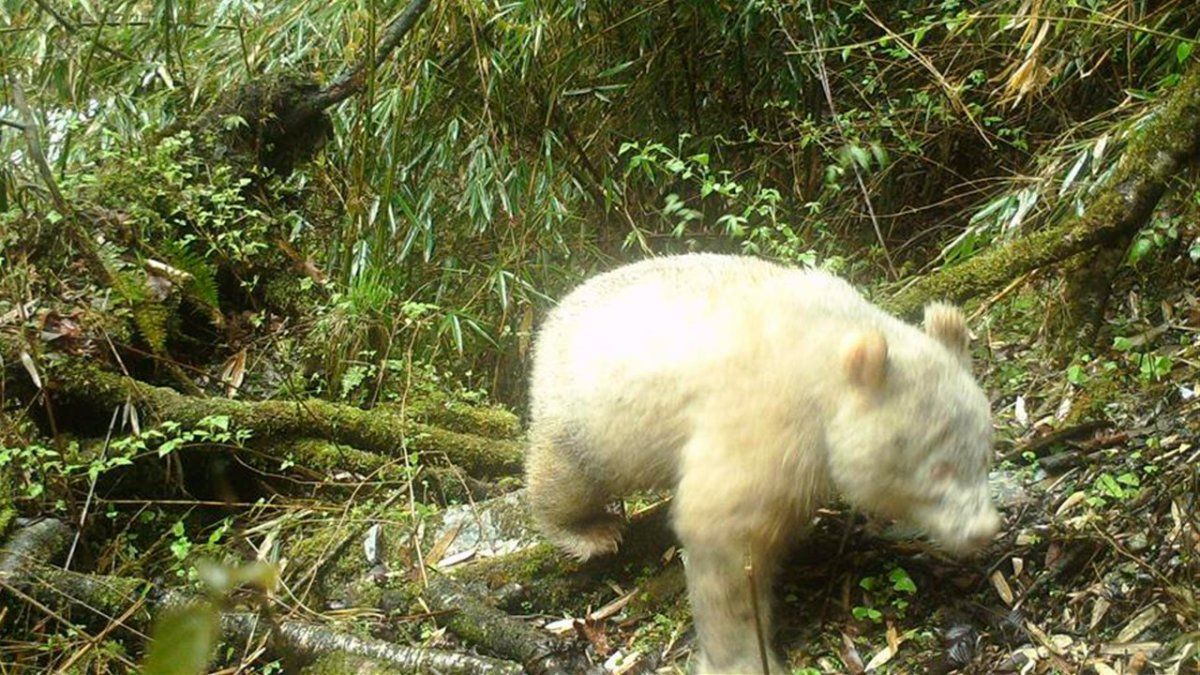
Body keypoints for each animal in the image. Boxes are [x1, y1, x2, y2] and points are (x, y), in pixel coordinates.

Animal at [524, 253, 1002, 673]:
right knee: (566, 475)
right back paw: (589, 530)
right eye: (939, 467)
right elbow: (723, 530)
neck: (828, 352)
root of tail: (553, 317)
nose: (983, 530)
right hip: (586, 413)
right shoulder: (767, 415)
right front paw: (743, 657)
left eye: (984, 455)